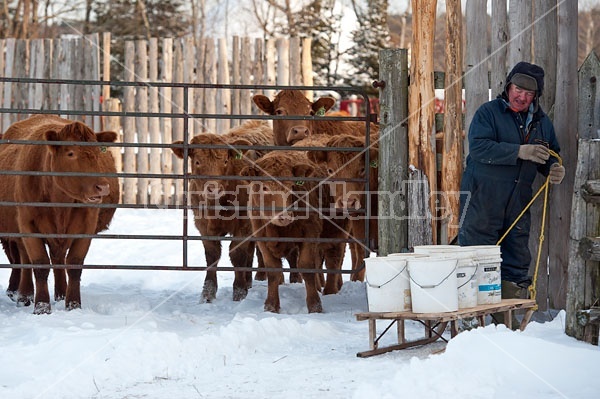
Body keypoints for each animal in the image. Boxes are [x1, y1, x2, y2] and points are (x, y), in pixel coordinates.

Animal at [0, 114, 118, 314]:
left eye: (97, 151)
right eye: (70, 153)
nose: (102, 187)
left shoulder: (87, 226)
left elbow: (74, 264)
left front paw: (73, 305)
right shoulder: (27, 225)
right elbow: (39, 264)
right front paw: (41, 307)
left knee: (58, 258)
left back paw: (61, 293)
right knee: (25, 259)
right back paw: (24, 296)